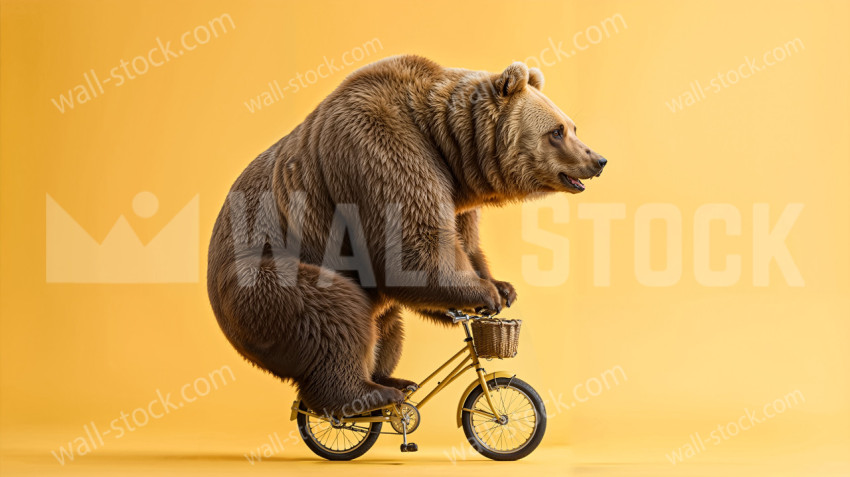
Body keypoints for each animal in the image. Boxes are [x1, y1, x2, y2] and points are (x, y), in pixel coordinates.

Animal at [207, 55, 607, 416]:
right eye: (557, 131)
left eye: (572, 127)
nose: (598, 160)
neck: (445, 144)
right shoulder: (382, 148)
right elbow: (412, 249)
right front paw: (486, 292)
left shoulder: (455, 195)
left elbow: (463, 243)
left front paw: (503, 286)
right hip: (262, 280)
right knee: (335, 314)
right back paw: (367, 394)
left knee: (386, 325)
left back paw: (391, 379)